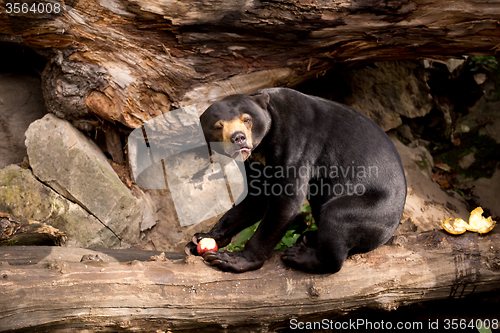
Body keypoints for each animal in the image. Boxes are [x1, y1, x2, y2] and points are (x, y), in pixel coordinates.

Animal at [185, 87, 406, 272]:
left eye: (246, 119)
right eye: (218, 126)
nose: (238, 138)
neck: (263, 147)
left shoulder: (296, 144)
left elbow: (286, 201)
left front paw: (233, 260)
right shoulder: (254, 162)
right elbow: (255, 199)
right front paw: (202, 238)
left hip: (376, 209)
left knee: (338, 217)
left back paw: (300, 255)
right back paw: (310, 237)